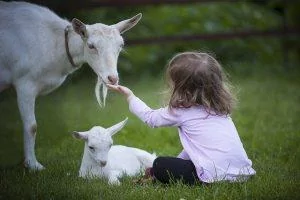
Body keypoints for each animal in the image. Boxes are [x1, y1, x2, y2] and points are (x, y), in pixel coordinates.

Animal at [0, 1, 142, 170]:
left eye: (121, 45)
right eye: (91, 46)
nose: (112, 78)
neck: (55, 44)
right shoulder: (25, 82)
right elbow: (31, 126)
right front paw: (33, 165)